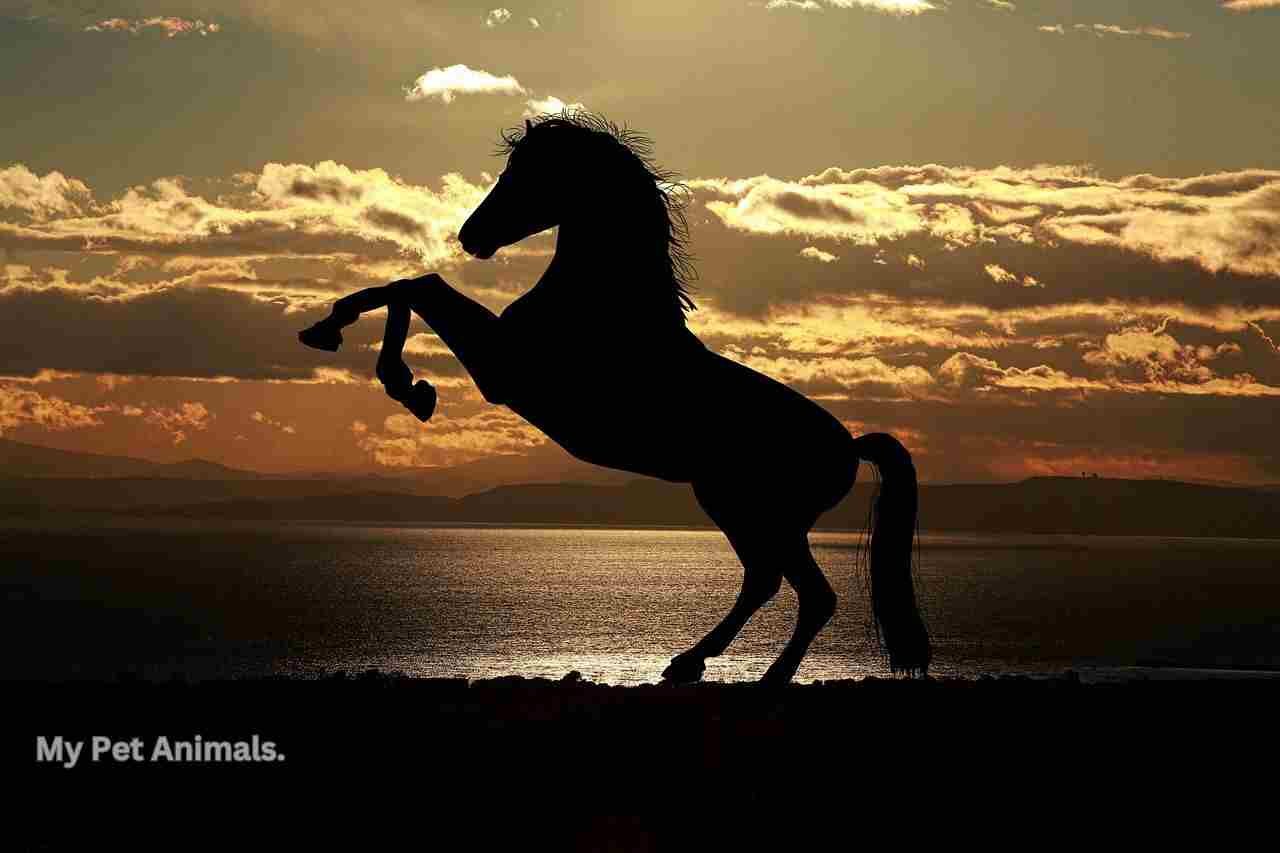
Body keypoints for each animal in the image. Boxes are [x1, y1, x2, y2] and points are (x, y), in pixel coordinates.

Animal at [298, 112, 930, 684]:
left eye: (528, 173)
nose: (470, 237)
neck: (603, 305)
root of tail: (849, 446)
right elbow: (408, 287)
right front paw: (350, 344)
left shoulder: (503, 370)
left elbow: (417, 287)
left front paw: (395, 377)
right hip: (742, 509)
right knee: (767, 581)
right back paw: (689, 663)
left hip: (754, 511)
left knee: (805, 592)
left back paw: (758, 676)